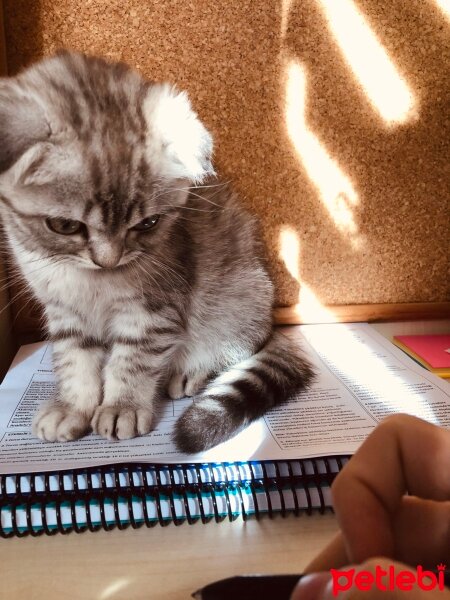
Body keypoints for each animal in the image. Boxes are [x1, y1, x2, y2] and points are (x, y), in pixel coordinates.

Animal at [0, 51, 312, 452]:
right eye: (65, 226)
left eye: (148, 224)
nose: (108, 260)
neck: (88, 281)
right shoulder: (65, 311)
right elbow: (73, 359)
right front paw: (73, 406)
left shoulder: (154, 307)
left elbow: (132, 359)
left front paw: (122, 406)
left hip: (240, 298)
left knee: (237, 344)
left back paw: (191, 371)